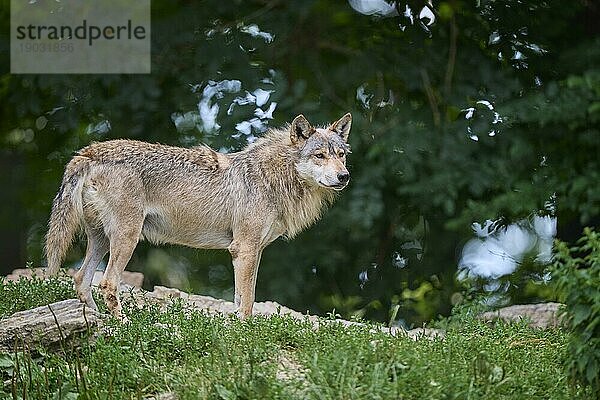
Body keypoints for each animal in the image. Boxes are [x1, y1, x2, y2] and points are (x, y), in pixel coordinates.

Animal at [47, 112, 354, 318]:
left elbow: (242, 298)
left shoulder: (252, 252)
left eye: (341, 155)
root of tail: (89, 151)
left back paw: (97, 319)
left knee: (81, 279)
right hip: (127, 239)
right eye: (319, 156)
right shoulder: (244, 249)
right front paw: (246, 333)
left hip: (101, 240)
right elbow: (248, 302)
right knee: (108, 283)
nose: (344, 176)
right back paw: (122, 324)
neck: (274, 177)